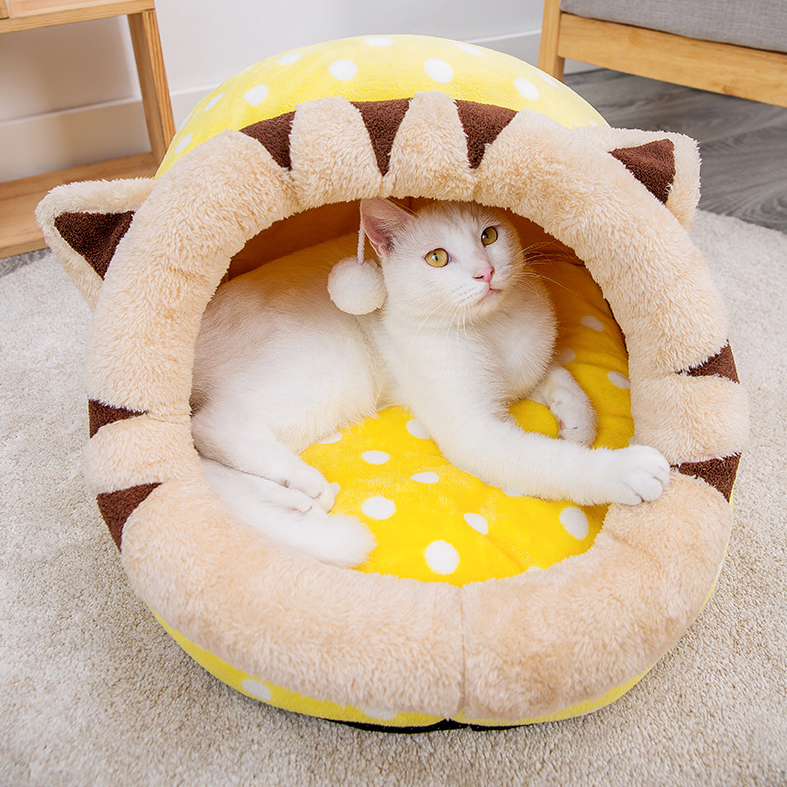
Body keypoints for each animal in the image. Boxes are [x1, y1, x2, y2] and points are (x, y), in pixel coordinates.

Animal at [191, 197, 672, 568]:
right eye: (437, 257)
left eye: (489, 236)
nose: (484, 272)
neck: (493, 331)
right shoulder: (473, 431)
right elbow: (550, 461)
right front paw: (623, 467)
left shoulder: (526, 367)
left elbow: (559, 374)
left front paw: (578, 423)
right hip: (325, 375)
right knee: (211, 427)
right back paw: (302, 482)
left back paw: (295, 500)